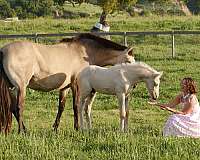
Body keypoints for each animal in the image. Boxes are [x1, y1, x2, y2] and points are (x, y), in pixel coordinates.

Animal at [0, 32, 135, 134]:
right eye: (128, 61)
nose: (133, 85)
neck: (83, 52)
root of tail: (3, 51)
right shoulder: (76, 85)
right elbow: (76, 106)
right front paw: (77, 128)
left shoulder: (65, 87)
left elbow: (61, 107)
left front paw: (55, 128)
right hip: (20, 87)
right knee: (19, 107)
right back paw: (22, 131)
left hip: (11, 88)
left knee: (13, 108)